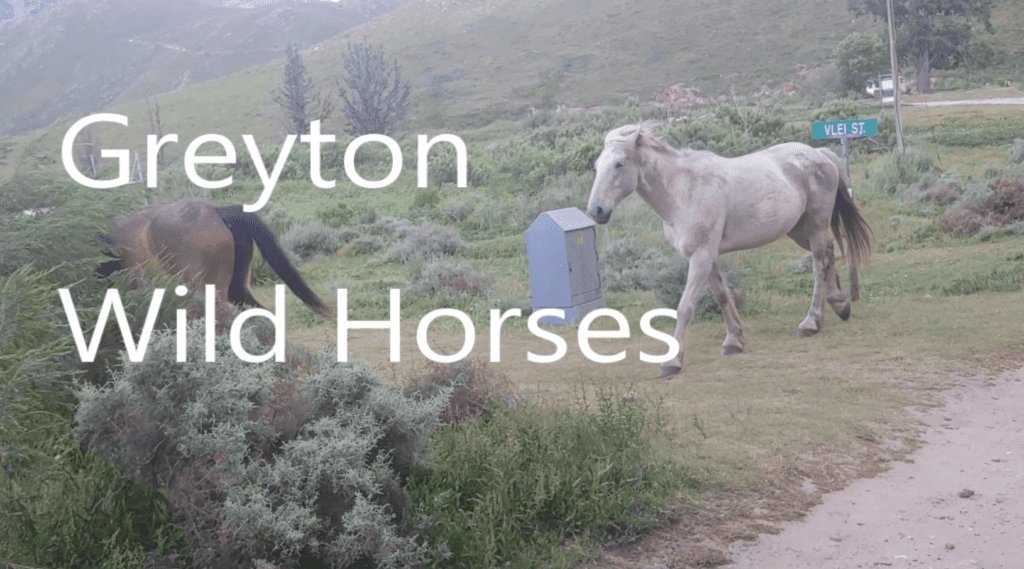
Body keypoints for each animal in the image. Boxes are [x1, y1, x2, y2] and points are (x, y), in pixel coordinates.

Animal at [586, 122, 871, 378]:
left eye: (619, 163)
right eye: (596, 165)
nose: (596, 210)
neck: (683, 192)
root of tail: (820, 154)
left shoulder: (701, 257)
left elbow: (685, 307)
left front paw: (672, 362)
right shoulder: (705, 257)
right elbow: (723, 296)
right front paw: (734, 341)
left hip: (815, 225)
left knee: (819, 265)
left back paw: (811, 323)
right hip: (799, 230)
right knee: (828, 253)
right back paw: (840, 305)